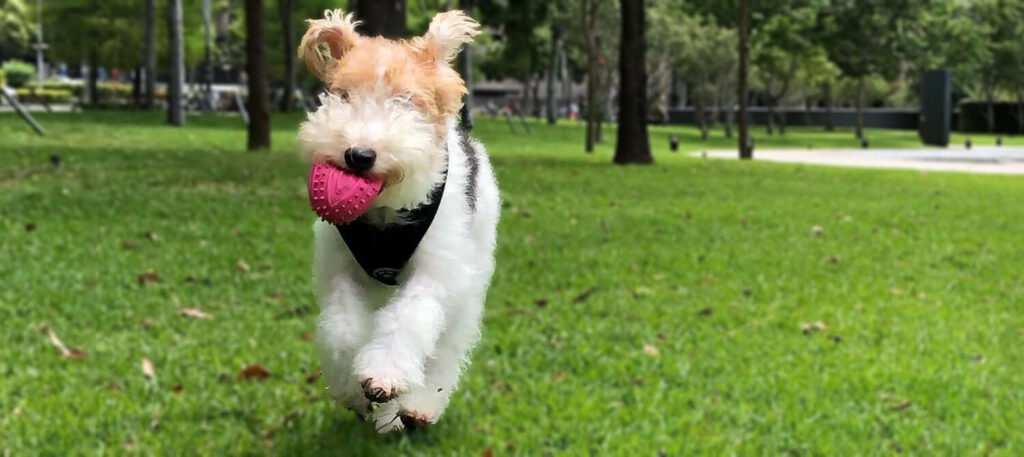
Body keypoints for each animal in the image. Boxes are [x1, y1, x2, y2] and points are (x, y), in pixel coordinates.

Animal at [294, 9, 497, 432]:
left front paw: (382, 376)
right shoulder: (339, 270)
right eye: (343, 95)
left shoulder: (434, 273)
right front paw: (352, 388)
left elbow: (407, 322)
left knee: (447, 344)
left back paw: (418, 406)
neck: (385, 214)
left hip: (470, 278)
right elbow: (342, 328)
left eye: (406, 101)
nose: (359, 154)